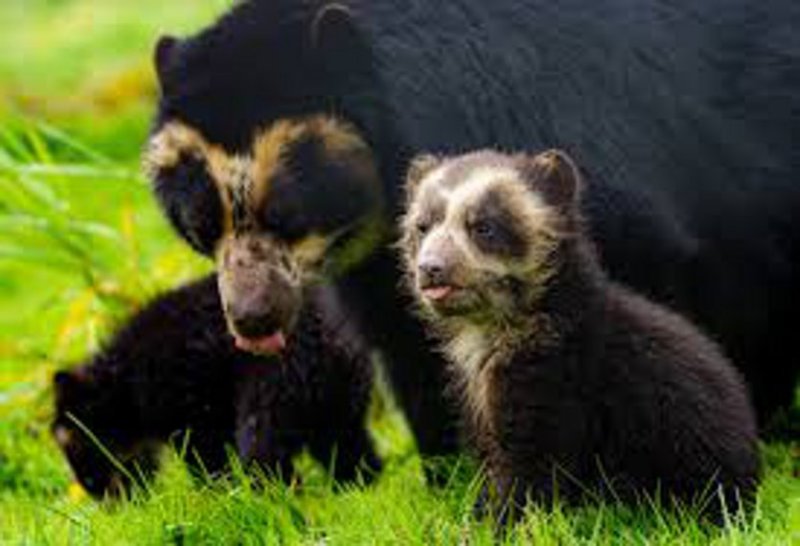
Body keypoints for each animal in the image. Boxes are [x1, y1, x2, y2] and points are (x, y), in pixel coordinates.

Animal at [52, 274, 379, 498]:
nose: (93, 490)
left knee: (271, 472)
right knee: (360, 464)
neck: (128, 382)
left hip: (269, 409)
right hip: (340, 415)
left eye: (71, 440)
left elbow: (210, 472)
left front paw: (218, 501)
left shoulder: (196, 425)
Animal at [144, 0, 800, 468]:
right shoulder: (377, 260)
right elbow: (407, 339)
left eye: (287, 213)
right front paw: (451, 469)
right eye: (198, 227)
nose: (253, 321)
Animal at [398, 148, 760, 521]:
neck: (497, 330)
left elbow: (534, 460)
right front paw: (476, 514)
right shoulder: (476, 394)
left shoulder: (560, 378)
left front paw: (507, 522)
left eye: (484, 227)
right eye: (422, 227)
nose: (431, 269)